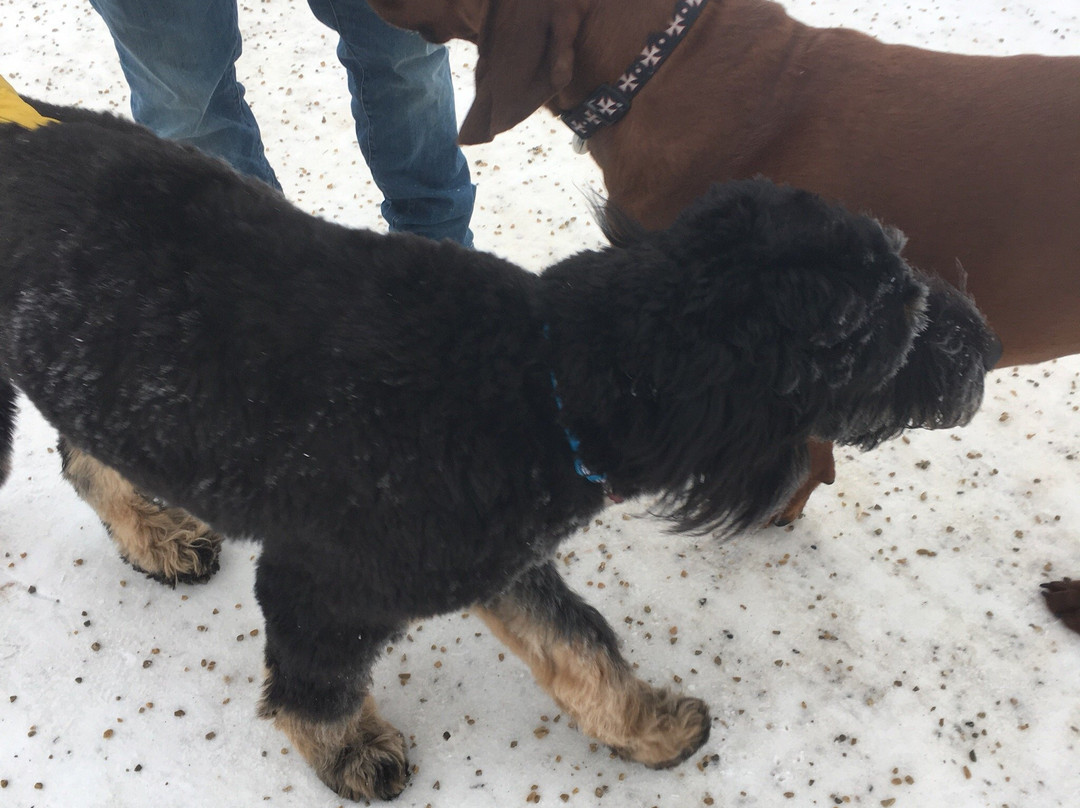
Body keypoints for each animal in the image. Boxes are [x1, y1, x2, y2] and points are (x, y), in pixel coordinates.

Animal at [0, 104, 997, 799]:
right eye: (898, 329)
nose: (986, 345)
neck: (544, 376)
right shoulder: (322, 586)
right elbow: (318, 688)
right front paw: (353, 754)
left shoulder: (505, 558)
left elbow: (579, 643)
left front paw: (645, 727)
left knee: (82, 455)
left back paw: (154, 535)